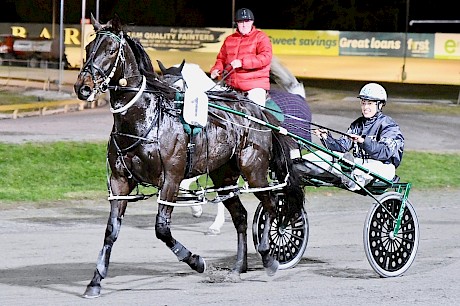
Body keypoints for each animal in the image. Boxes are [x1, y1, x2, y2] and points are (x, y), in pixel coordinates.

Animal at [73, 14, 304, 298]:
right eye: (88, 48)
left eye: (111, 50)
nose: (83, 87)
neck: (146, 119)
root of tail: (257, 111)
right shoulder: (119, 183)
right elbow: (111, 231)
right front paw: (95, 282)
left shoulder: (171, 179)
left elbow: (162, 229)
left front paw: (196, 261)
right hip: (223, 175)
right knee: (240, 216)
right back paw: (239, 267)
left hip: (254, 170)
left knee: (271, 204)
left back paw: (269, 257)